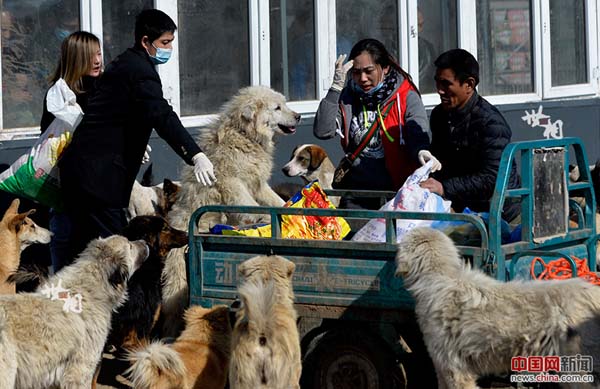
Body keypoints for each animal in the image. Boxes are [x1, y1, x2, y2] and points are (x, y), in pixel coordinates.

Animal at [162, 85, 300, 336]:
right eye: (277, 107)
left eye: (284, 104)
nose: (298, 116)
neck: (245, 135)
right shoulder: (232, 182)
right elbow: (248, 203)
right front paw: (263, 218)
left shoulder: (258, 183)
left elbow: (274, 200)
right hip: (177, 284)